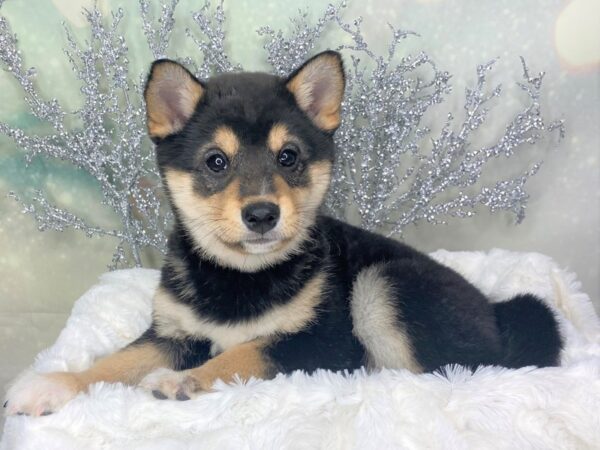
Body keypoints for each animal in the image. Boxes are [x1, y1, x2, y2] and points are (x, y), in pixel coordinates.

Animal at [3, 51, 564, 416]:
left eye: (288, 156)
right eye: (216, 161)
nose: (261, 214)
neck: (240, 276)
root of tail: (496, 313)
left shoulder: (319, 341)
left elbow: (241, 353)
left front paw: (185, 381)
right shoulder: (172, 334)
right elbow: (115, 362)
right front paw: (50, 386)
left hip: (381, 286)